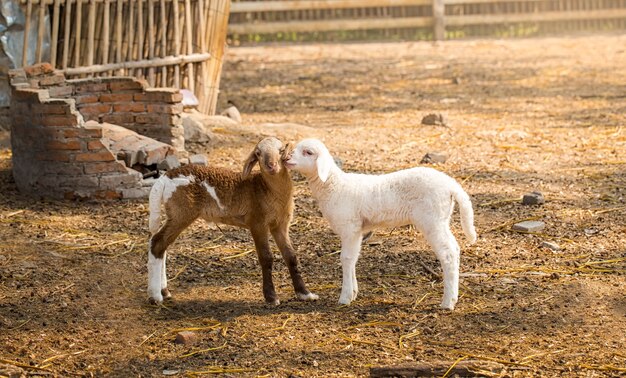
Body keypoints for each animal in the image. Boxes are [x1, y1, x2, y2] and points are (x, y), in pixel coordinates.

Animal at [286, 139, 476, 310]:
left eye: (308, 152)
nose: (286, 158)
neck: (334, 186)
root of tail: (452, 185)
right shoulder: (357, 230)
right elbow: (353, 258)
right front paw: (353, 293)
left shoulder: (349, 227)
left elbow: (346, 258)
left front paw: (345, 297)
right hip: (442, 218)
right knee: (455, 248)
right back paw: (454, 297)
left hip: (432, 219)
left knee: (448, 253)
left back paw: (448, 302)